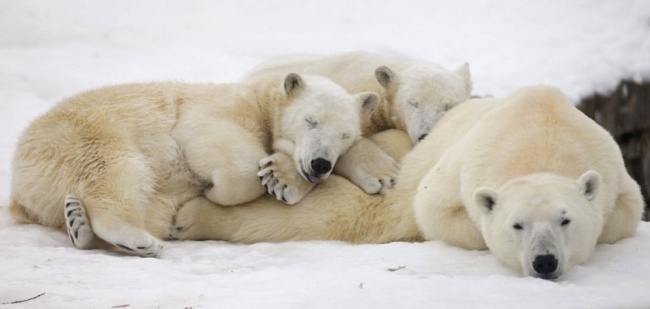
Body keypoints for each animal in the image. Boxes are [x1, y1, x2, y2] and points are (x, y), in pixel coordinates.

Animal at [8, 73, 374, 256]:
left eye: (345, 135)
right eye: (311, 120)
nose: (320, 163)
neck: (261, 99)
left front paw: (282, 180)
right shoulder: (222, 107)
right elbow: (208, 139)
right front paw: (216, 193)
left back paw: (79, 223)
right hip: (81, 133)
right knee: (115, 171)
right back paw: (137, 239)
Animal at [172, 85, 644, 278]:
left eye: (566, 220)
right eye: (517, 224)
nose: (545, 262)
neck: (541, 131)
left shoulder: (611, 168)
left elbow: (624, 212)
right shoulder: (459, 166)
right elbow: (432, 209)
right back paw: (191, 218)